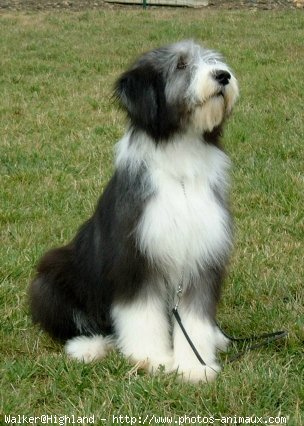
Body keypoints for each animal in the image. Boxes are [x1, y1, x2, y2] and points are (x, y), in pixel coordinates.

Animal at [29, 40, 238, 382]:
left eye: (212, 60)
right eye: (181, 65)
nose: (222, 76)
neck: (180, 165)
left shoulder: (201, 257)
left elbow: (195, 316)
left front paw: (195, 367)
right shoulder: (135, 257)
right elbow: (142, 313)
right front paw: (153, 359)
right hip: (51, 279)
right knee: (77, 325)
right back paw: (88, 347)